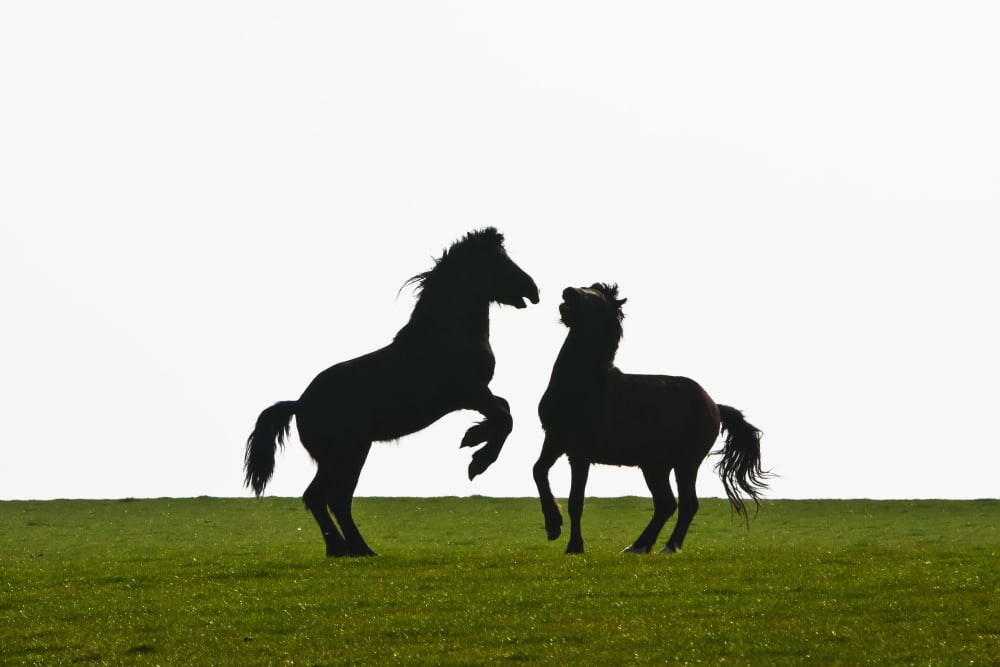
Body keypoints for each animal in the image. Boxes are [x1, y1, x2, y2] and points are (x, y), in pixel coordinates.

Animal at [245, 228, 539, 556]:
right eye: (498, 261)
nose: (533, 290)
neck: (445, 335)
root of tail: (299, 404)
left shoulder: (477, 394)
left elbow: (505, 409)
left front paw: (473, 437)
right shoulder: (471, 393)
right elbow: (505, 418)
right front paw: (478, 460)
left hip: (338, 457)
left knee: (319, 498)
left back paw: (341, 548)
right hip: (348, 454)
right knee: (332, 498)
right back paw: (358, 548)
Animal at [533, 283, 770, 554]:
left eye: (596, 299)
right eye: (585, 288)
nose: (568, 292)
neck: (584, 384)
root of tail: (715, 407)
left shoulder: (580, 453)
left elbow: (576, 502)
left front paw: (574, 546)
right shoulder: (555, 440)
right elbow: (538, 471)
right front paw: (553, 526)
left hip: (686, 462)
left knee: (687, 504)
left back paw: (669, 547)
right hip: (655, 466)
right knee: (666, 504)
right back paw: (638, 546)